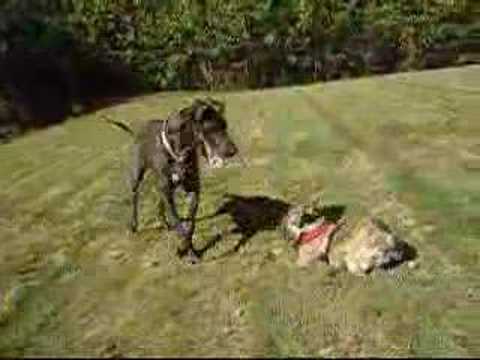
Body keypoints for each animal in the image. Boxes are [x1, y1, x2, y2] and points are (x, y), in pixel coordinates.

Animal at [107, 98, 238, 264]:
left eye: (225, 126)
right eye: (212, 128)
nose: (233, 151)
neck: (179, 154)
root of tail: (138, 130)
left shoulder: (193, 190)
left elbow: (190, 225)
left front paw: (185, 248)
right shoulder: (168, 191)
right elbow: (179, 225)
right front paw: (186, 251)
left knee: (160, 200)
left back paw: (163, 221)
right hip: (137, 176)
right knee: (135, 198)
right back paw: (134, 224)